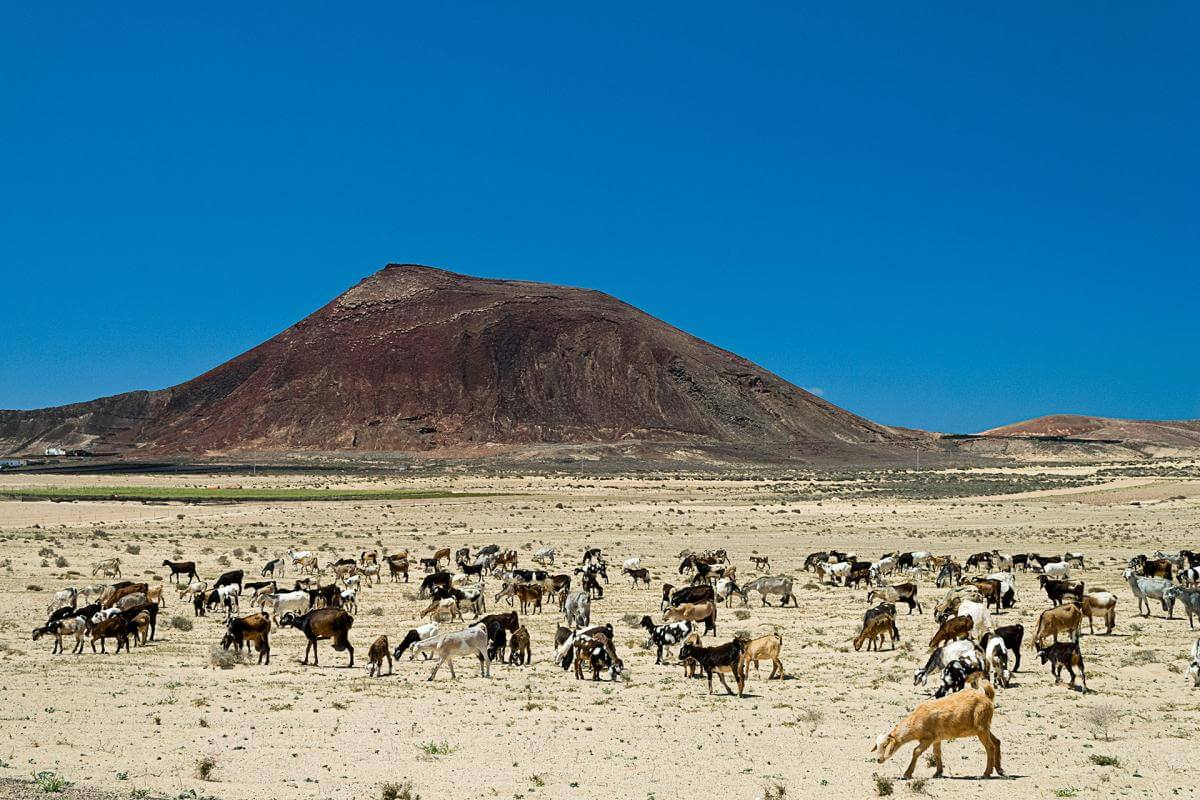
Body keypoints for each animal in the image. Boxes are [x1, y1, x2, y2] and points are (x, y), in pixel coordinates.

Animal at [873, 681, 1003, 777]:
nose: (878, 760)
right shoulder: (936, 738)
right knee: (997, 742)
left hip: (981, 727)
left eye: (885, 745)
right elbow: (937, 753)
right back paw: (999, 769)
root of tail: (987, 698)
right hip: (984, 727)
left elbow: (916, 751)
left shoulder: (928, 738)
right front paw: (938, 772)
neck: (915, 721)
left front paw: (907, 773)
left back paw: (987, 773)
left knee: (990, 747)